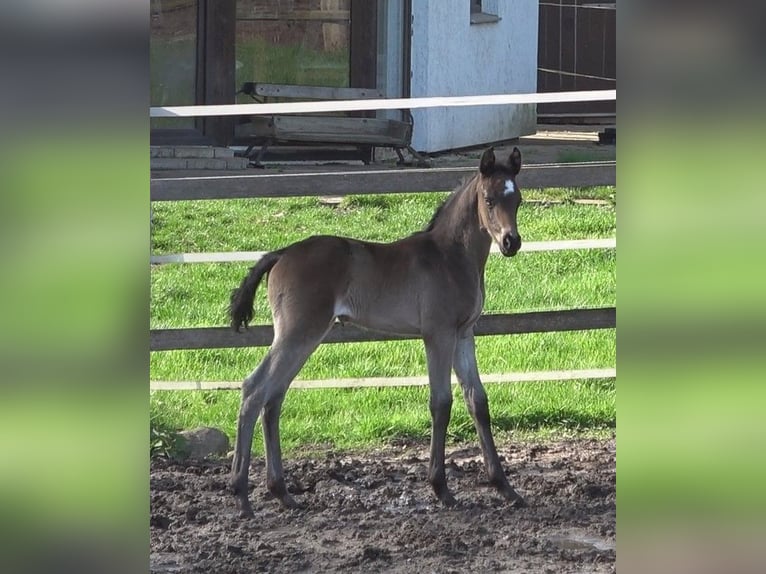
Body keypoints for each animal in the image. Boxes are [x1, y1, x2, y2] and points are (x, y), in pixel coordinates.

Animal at [230, 147, 528, 516]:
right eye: (488, 199)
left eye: (517, 199)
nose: (511, 242)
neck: (450, 257)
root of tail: (282, 253)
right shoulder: (438, 335)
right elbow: (441, 403)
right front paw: (441, 489)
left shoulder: (463, 334)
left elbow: (478, 401)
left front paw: (506, 488)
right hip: (298, 332)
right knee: (255, 388)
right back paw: (241, 496)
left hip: (303, 336)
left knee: (273, 397)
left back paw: (282, 493)